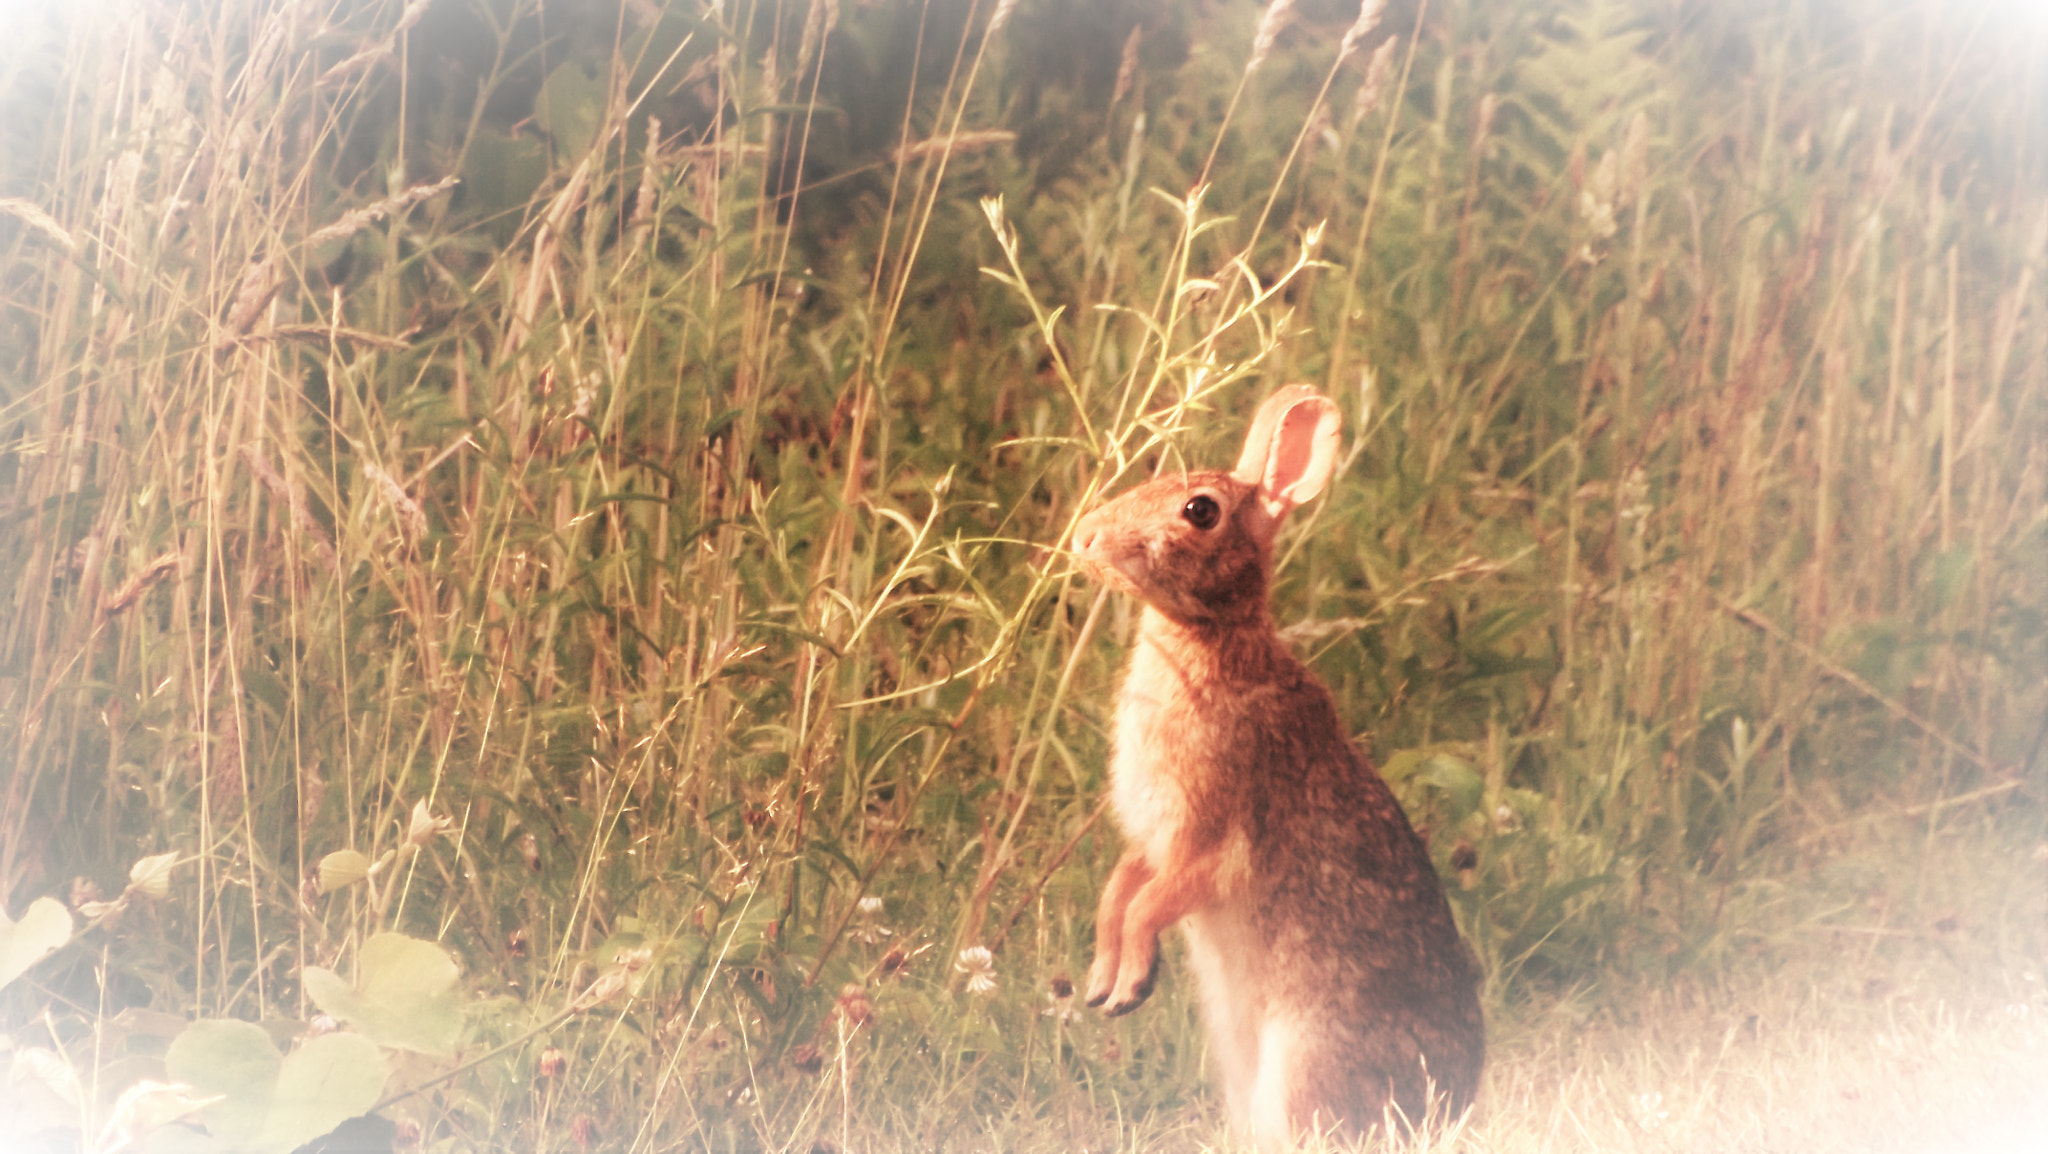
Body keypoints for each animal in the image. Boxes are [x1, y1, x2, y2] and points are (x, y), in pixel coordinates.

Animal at [1073, 385, 1490, 1147]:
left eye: (1199, 510)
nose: (1085, 535)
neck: (1210, 639)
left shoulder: (1218, 839)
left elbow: (1154, 900)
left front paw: (1131, 984)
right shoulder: (1155, 837)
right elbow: (1121, 889)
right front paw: (1101, 980)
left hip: (1301, 1068)